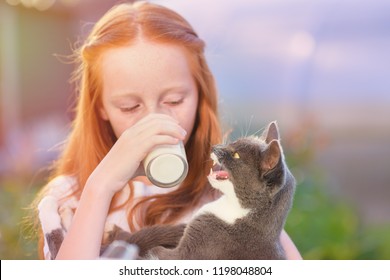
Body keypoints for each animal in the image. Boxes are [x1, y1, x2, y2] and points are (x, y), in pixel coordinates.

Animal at [103, 121, 296, 260]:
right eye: (233, 143)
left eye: (236, 155)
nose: (214, 147)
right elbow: (168, 230)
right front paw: (116, 233)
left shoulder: (187, 252)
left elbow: (154, 248)